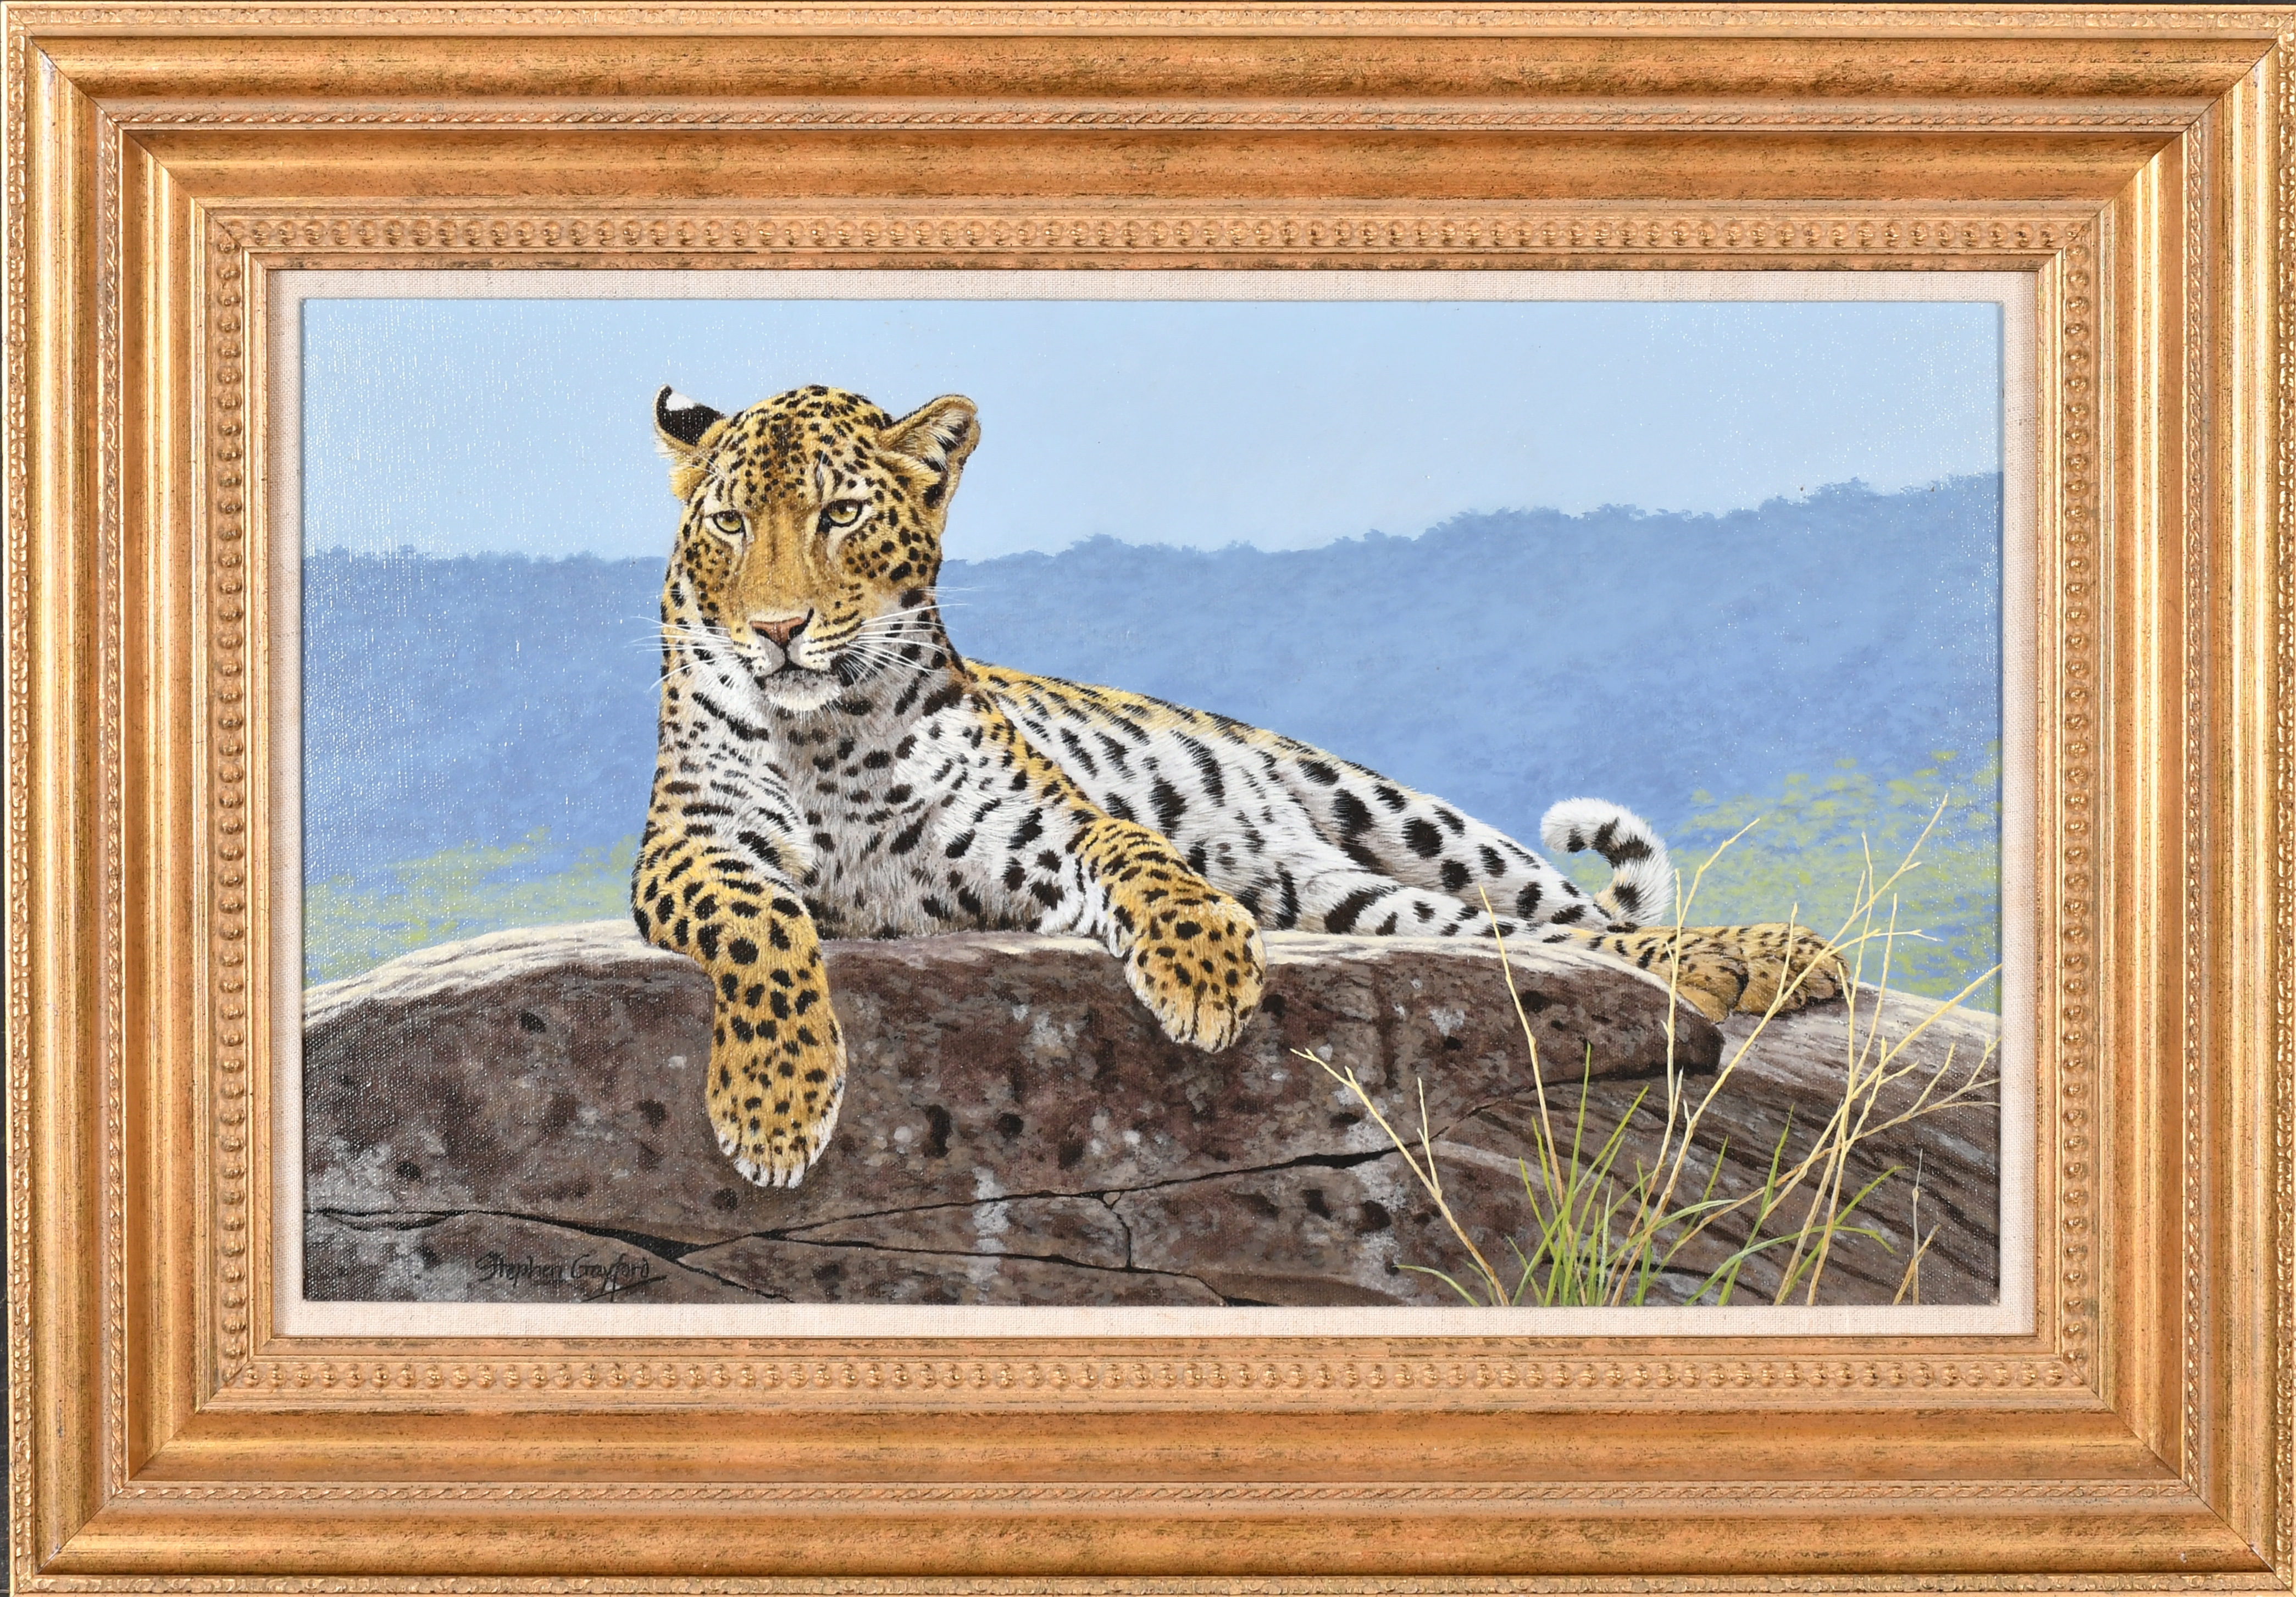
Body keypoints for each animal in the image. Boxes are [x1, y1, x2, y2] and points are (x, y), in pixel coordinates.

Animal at [634, 382, 1846, 1190]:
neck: (832, 734)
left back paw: (1764, 955)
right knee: (1526, 938)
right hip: (1340, 896)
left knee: (1579, 922)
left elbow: (1139, 853)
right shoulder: (691, 849)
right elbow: (762, 930)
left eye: (839, 516)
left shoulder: (1044, 826)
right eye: (730, 522)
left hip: (1403, 818)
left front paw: (1204, 970)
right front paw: (773, 1105)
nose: (776, 630)